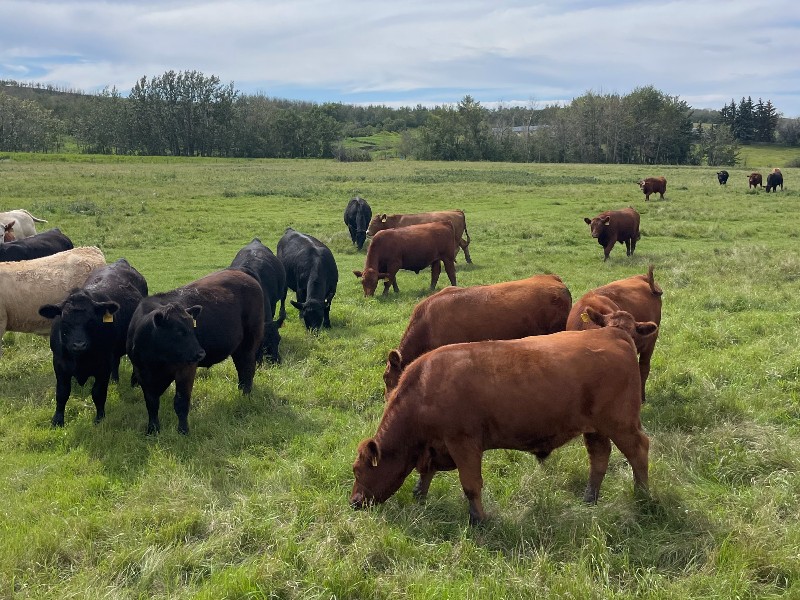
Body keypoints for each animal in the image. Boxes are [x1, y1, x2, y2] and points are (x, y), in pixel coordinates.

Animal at [38, 258, 148, 427]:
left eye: (91, 320)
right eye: (64, 321)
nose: (79, 345)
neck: (80, 360)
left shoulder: (103, 365)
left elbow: (98, 393)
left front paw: (100, 418)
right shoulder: (59, 364)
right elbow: (62, 393)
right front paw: (57, 420)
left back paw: (134, 383)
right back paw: (115, 380)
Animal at [127, 269, 264, 435]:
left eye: (193, 328)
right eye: (178, 331)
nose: (200, 354)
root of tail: (241, 273)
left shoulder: (186, 368)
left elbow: (181, 402)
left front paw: (183, 431)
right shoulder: (141, 372)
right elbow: (151, 403)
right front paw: (152, 430)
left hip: (250, 341)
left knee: (248, 367)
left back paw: (245, 395)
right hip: (238, 347)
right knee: (241, 367)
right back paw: (241, 390)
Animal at [351, 307, 657, 524]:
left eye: (358, 469)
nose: (354, 502)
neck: (425, 387)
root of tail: (614, 335)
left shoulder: (463, 443)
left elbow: (471, 485)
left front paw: (479, 520)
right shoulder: (436, 447)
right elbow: (425, 474)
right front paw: (420, 499)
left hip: (621, 424)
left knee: (639, 451)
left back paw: (643, 496)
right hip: (595, 429)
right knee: (599, 458)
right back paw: (589, 499)